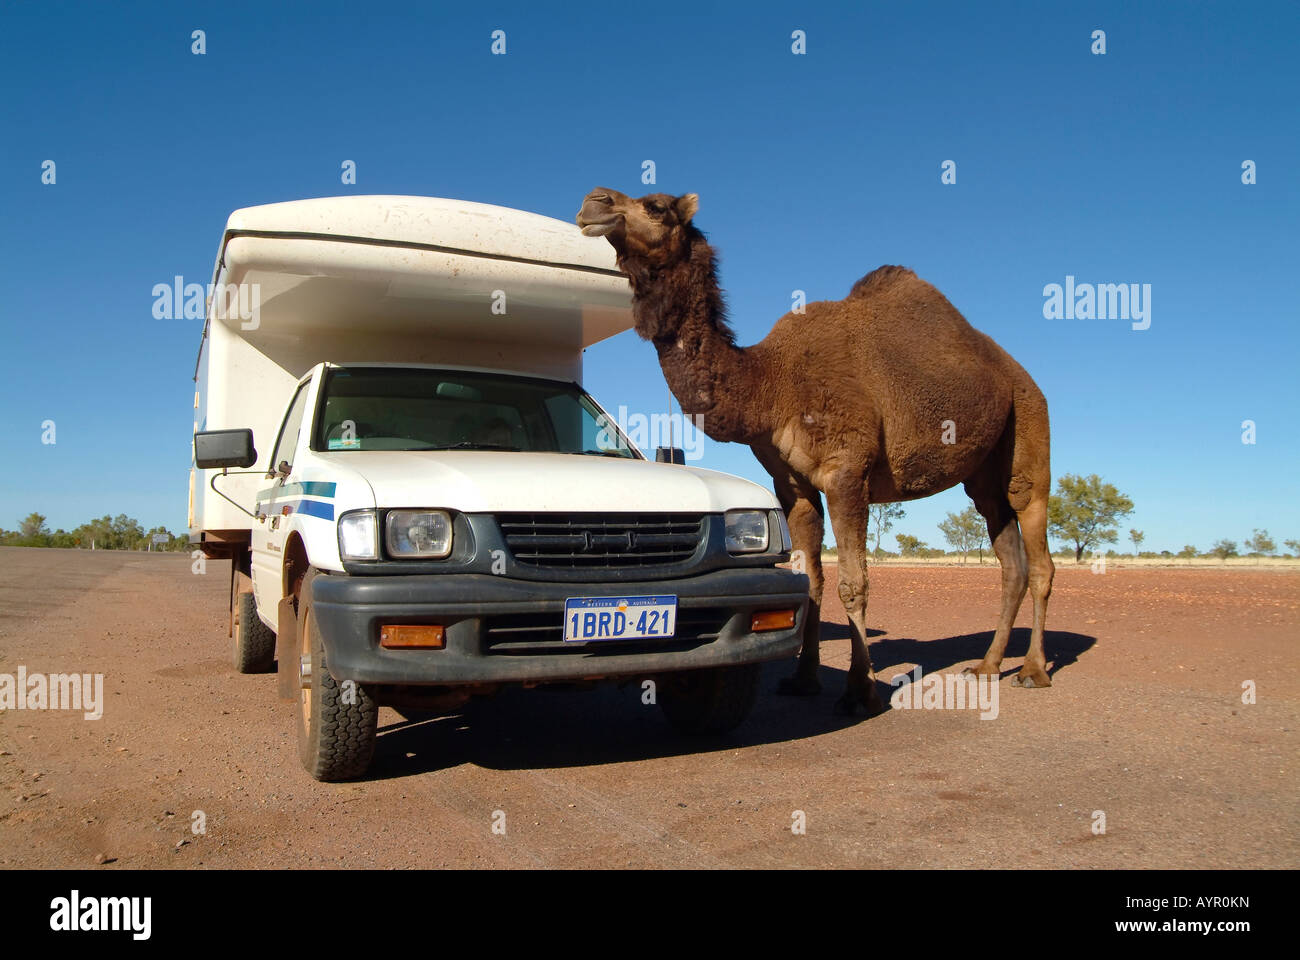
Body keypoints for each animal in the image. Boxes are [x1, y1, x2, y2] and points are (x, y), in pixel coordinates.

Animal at [576, 187, 1056, 715]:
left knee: (1038, 548)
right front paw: (803, 679)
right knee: (1010, 558)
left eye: (656, 207)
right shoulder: (793, 484)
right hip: (985, 475)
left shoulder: (847, 472)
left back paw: (1033, 671)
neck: (770, 383)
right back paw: (988, 666)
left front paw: (860, 689)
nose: (593, 203)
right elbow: (811, 581)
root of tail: (1018, 373)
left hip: (1029, 425)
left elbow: (853, 582)